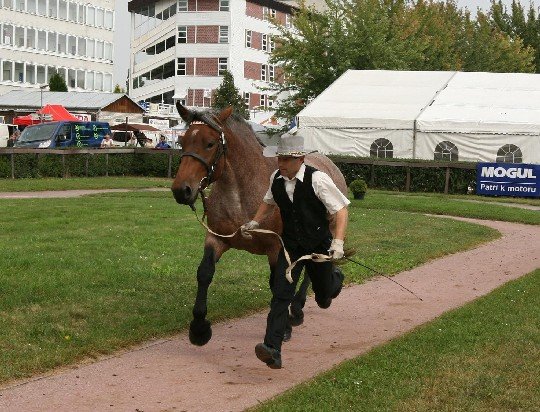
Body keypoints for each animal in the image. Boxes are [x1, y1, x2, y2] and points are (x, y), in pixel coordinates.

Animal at [171, 103, 348, 346]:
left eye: (210, 143)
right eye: (182, 141)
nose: (182, 190)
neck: (240, 194)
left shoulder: (276, 249)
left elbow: (277, 285)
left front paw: (281, 329)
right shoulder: (216, 239)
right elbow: (204, 272)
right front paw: (199, 329)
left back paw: (302, 307)